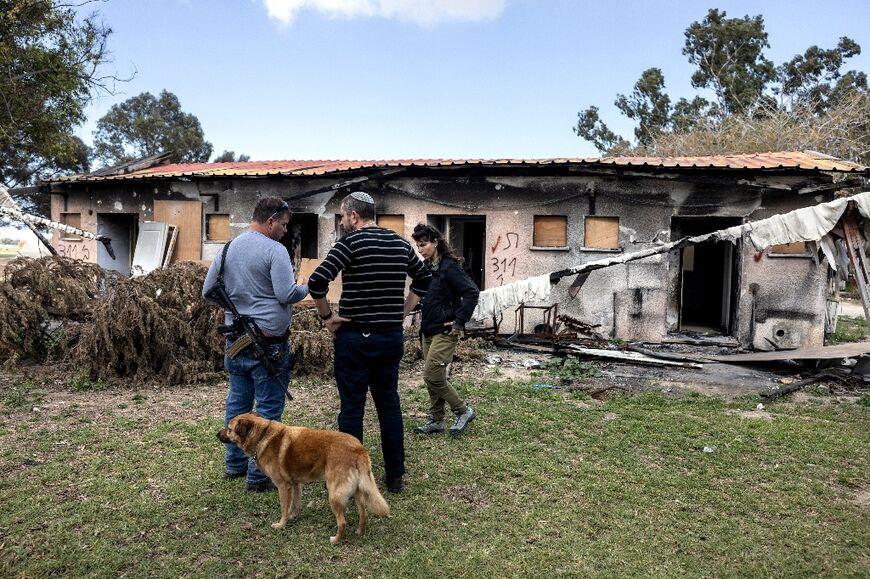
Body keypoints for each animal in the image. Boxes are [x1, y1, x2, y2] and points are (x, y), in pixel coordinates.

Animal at [218, 412, 392, 544]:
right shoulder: (295, 484)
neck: (262, 435)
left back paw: (336, 540)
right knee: (363, 514)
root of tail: (358, 448)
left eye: (229, 429)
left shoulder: (283, 486)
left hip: (334, 494)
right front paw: (293, 517)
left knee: (342, 522)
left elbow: (284, 508)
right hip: (357, 491)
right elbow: (295, 504)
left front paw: (281, 524)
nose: (216, 434)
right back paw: (360, 532)